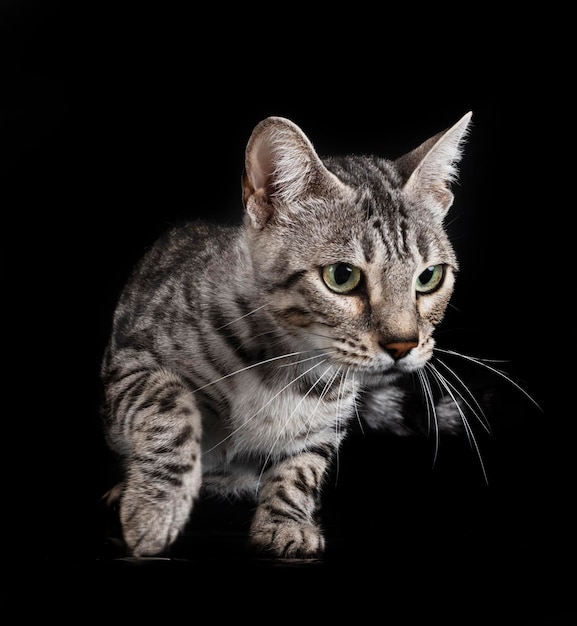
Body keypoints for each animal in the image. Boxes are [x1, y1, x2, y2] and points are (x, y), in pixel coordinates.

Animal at [100, 111, 476, 556]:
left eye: (429, 276)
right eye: (342, 276)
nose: (403, 344)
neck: (290, 368)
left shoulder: (328, 422)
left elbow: (302, 467)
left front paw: (285, 522)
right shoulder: (130, 362)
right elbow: (169, 405)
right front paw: (155, 507)